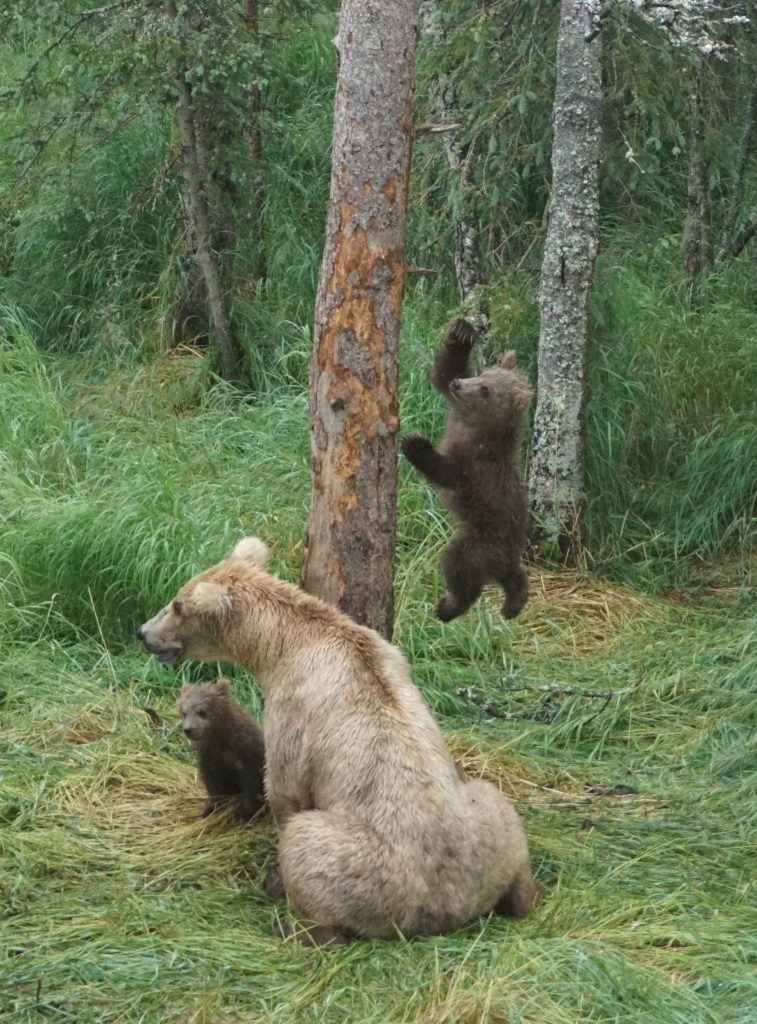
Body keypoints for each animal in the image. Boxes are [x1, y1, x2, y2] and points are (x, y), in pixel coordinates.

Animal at [177, 679, 266, 823]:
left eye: (202, 711)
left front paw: (246, 812)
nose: (188, 729)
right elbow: (214, 784)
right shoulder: (210, 756)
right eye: (184, 712)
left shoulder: (248, 755)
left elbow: (252, 785)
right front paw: (210, 808)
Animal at [403, 319, 532, 618]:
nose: (459, 384)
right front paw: (461, 333)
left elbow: (448, 472)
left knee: (460, 565)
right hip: (498, 551)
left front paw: (415, 444)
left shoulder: (476, 466)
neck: (477, 427)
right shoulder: (457, 410)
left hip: (482, 540)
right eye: (483, 375)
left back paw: (449, 606)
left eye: (486, 390)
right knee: (512, 575)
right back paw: (514, 603)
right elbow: (444, 370)